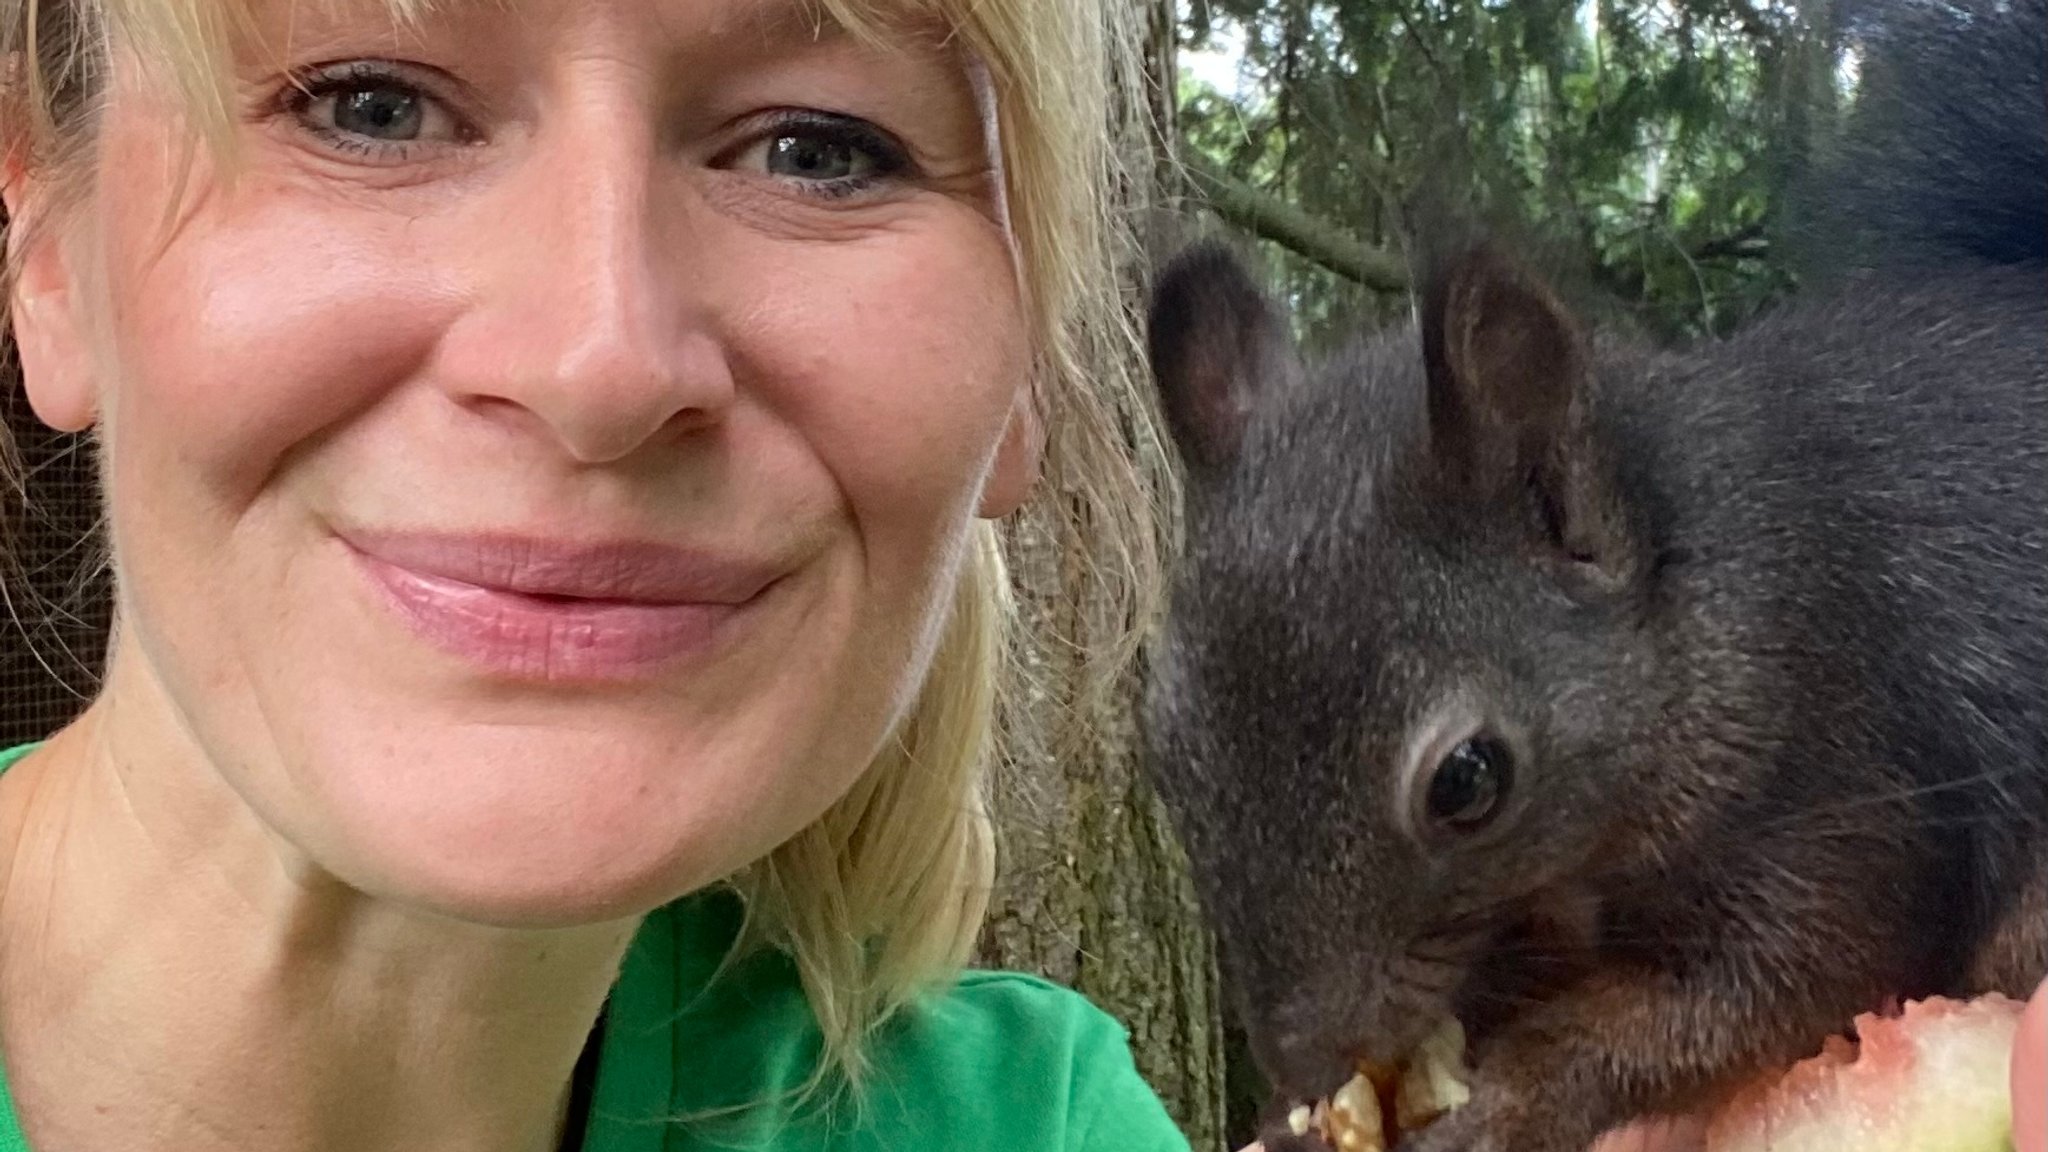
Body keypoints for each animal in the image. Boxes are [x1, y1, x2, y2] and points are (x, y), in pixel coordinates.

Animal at [1146, 2, 2039, 1147]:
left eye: (1466, 781)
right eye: (1166, 762)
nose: (1305, 1062)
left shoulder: (1843, 776)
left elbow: (1768, 985)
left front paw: (1511, 1093)